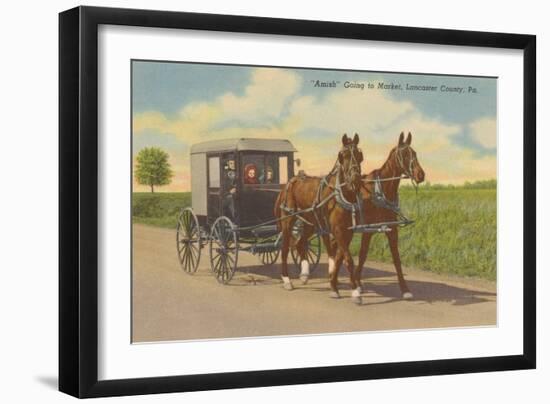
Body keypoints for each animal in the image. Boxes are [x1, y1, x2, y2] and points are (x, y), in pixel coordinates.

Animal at [276, 134, 366, 298]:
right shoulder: (337, 230)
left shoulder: (347, 231)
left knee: (300, 243)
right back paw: (286, 280)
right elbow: (346, 259)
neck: (340, 195)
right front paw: (354, 292)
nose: (355, 179)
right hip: (288, 221)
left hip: (310, 223)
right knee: (285, 249)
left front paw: (335, 284)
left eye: (359, 155)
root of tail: (289, 183)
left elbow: (339, 258)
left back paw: (304, 275)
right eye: (343, 155)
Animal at [358, 133, 426, 300]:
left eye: (414, 153)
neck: (380, 191)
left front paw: (405, 289)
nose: (420, 175)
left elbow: (396, 258)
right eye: (404, 154)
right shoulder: (367, 230)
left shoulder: (392, 229)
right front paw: (357, 283)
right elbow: (362, 255)